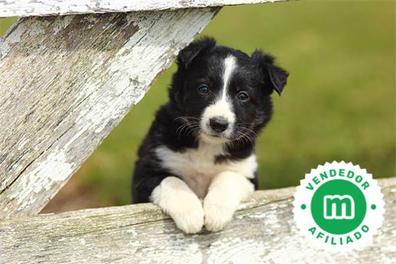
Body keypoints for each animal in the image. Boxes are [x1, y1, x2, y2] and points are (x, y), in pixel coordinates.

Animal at [131, 37, 290, 233]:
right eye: (204, 88)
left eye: (243, 96)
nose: (218, 124)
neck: (207, 146)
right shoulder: (145, 171)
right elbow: (171, 180)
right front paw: (190, 214)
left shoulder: (247, 173)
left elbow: (228, 176)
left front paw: (216, 213)